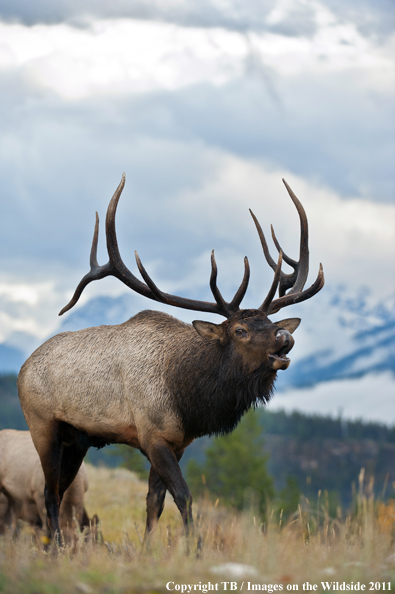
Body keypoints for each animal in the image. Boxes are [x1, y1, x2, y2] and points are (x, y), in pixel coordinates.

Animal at [17, 172, 324, 540]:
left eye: (272, 324)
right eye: (240, 330)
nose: (284, 338)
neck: (188, 397)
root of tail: (22, 368)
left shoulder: (178, 442)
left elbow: (154, 503)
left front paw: (148, 547)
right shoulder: (153, 436)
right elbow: (184, 497)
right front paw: (194, 546)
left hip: (76, 441)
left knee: (59, 491)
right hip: (43, 427)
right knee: (49, 492)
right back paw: (57, 546)